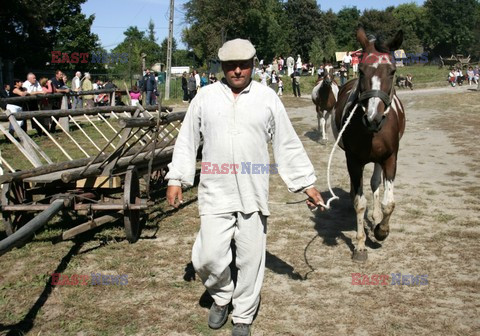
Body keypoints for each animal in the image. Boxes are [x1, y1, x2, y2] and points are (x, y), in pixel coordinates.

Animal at [332, 26, 406, 262]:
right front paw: (360, 246)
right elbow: (359, 202)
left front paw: (381, 230)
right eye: (362, 71)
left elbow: (388, 202)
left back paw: (375, 217)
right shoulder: (354, 160)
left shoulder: (390, 158)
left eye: (392, 71)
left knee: (374, 183)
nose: (373, 118)